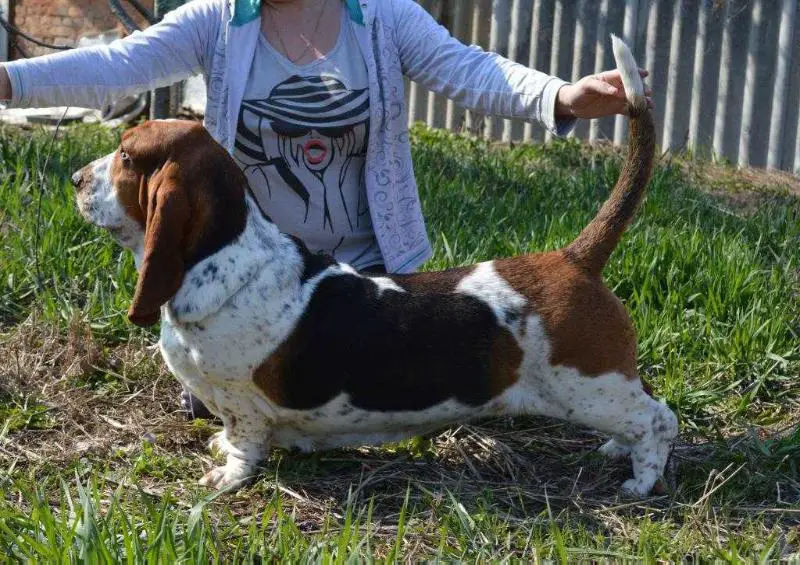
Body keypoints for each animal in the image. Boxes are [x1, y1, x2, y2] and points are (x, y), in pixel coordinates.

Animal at [73, 37, 676, 494]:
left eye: (126, 156)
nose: (76, 180)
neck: (224, 257)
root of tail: (575, 258)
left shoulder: (241, 401)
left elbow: (244, 442)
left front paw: (226, 476)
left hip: (588, 388)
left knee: (659, 420)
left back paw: (641, 482)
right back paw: (617, 451)